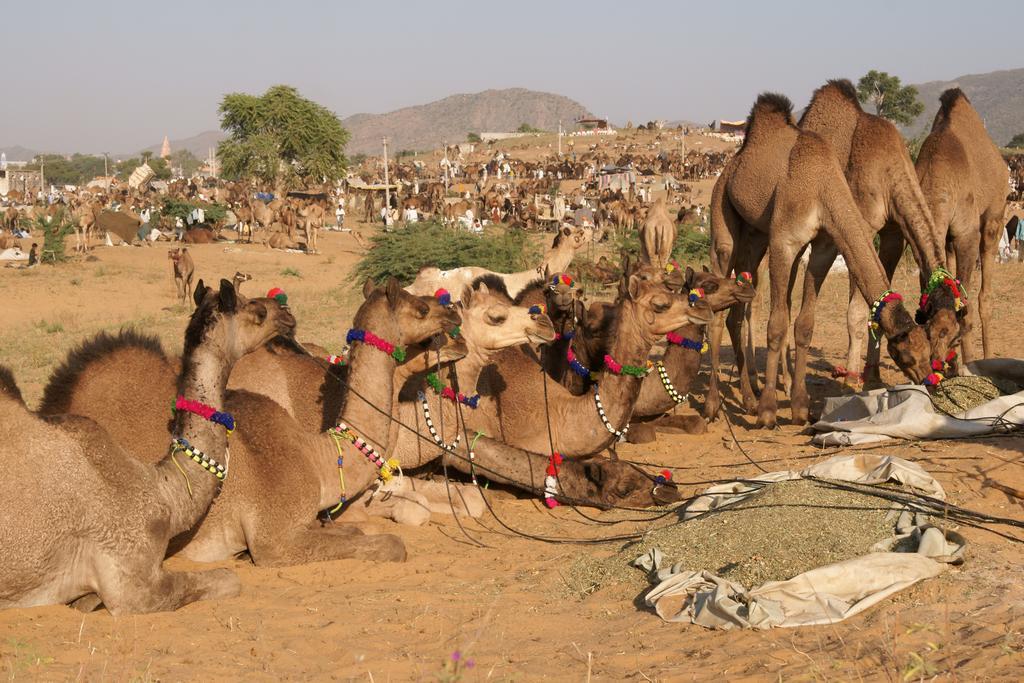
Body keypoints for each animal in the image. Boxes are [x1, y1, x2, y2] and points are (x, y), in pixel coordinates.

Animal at [704, 92, 937, 428]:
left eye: (929, 350)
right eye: (906, 354)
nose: (929, 379)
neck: (822, 186)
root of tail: (731, 165)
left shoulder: (825, 246)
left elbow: (804, 324)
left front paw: (800, 408)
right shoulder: (785, 242)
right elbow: (777, 325)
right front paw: (768, 411)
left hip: (755, 236)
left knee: (736, 312)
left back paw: (747, 399)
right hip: (722, 216)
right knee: (717, 308)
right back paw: (713, 405)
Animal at [917, 89, 1011, 362]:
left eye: (950, 334)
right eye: (926, 334)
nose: (937, 363)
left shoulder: (967, 234)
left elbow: (966, 302)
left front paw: (969, 361)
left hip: (994, 217)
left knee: (984, 295)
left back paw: (988, 355)